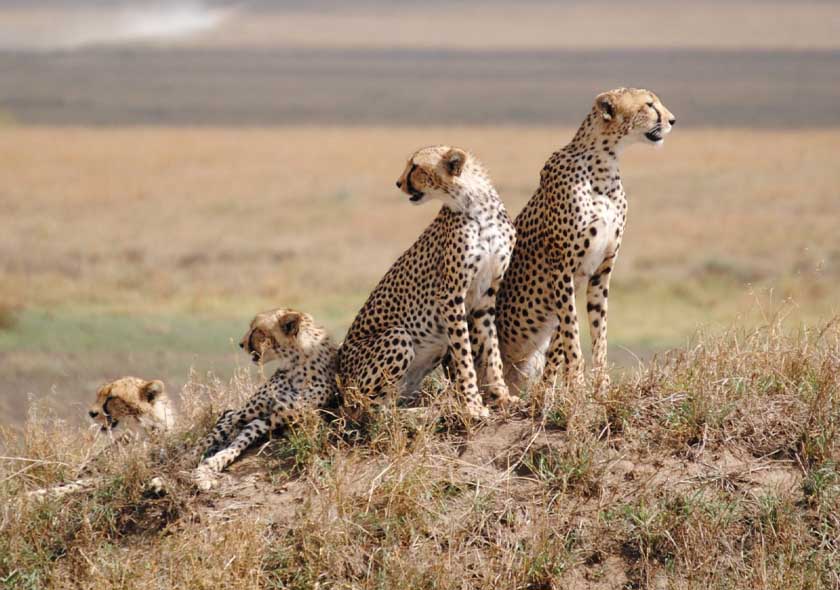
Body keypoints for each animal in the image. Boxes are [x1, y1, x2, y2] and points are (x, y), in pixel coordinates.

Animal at [195, 308, 340, 492]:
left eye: (257, 330)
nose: (241, 344)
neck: (297, 362)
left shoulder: (272, 418)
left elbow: (240, 442)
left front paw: (213, 464)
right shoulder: (248, 412)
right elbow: (208, 439)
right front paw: (189, 462)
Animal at [334, 145, 520, 418]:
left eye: (415, 167)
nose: (398, 182)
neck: (477, 206)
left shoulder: (485, 297)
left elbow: (491, 349)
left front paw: (501, 396)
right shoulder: (451, 295)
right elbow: (464, 356)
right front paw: (473, 405)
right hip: (397, 336)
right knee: (367, 409)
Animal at [498, 88, 676, 394]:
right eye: (649, 105)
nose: (672, 120)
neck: (604, 165)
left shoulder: (600, 272)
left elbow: (594, 332)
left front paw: (597, 385)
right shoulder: (562, 269)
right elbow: (571, 332)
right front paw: (578, 385)